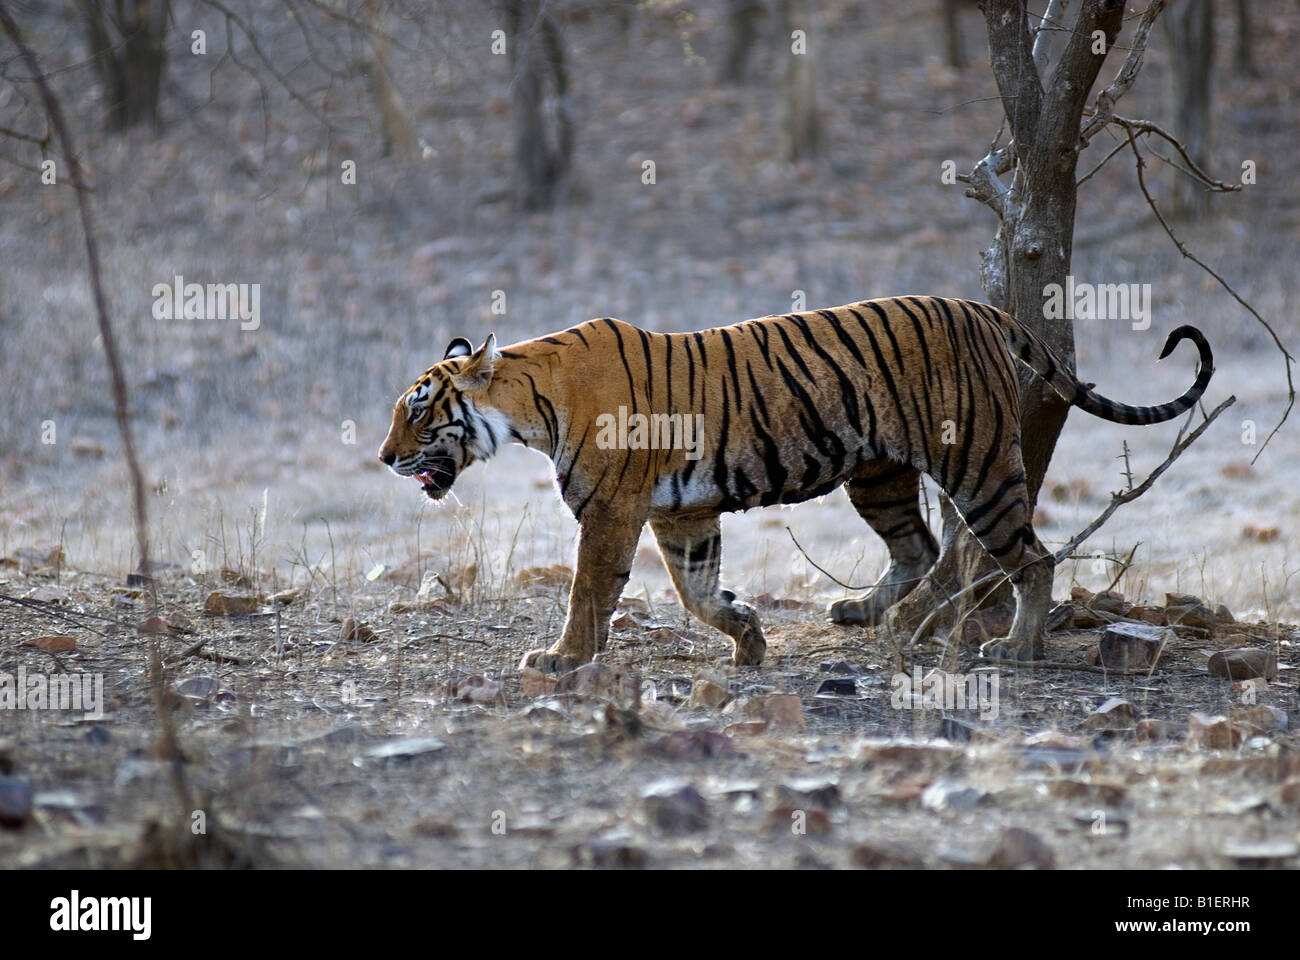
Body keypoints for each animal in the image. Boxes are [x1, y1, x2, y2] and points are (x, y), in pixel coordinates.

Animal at [379, 295, 1211, 671]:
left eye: (418, 411)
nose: (385, 457)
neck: (529, 403)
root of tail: (979, 306)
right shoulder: (682, 512)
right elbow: (696, 590)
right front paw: (748, 637)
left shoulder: (612, 510)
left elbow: (590, 590)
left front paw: (561, 659)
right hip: (877, 477)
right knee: (920, 548)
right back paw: (863, 613)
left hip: (978, 467)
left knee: (1029, 557)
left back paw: (1017, 646)